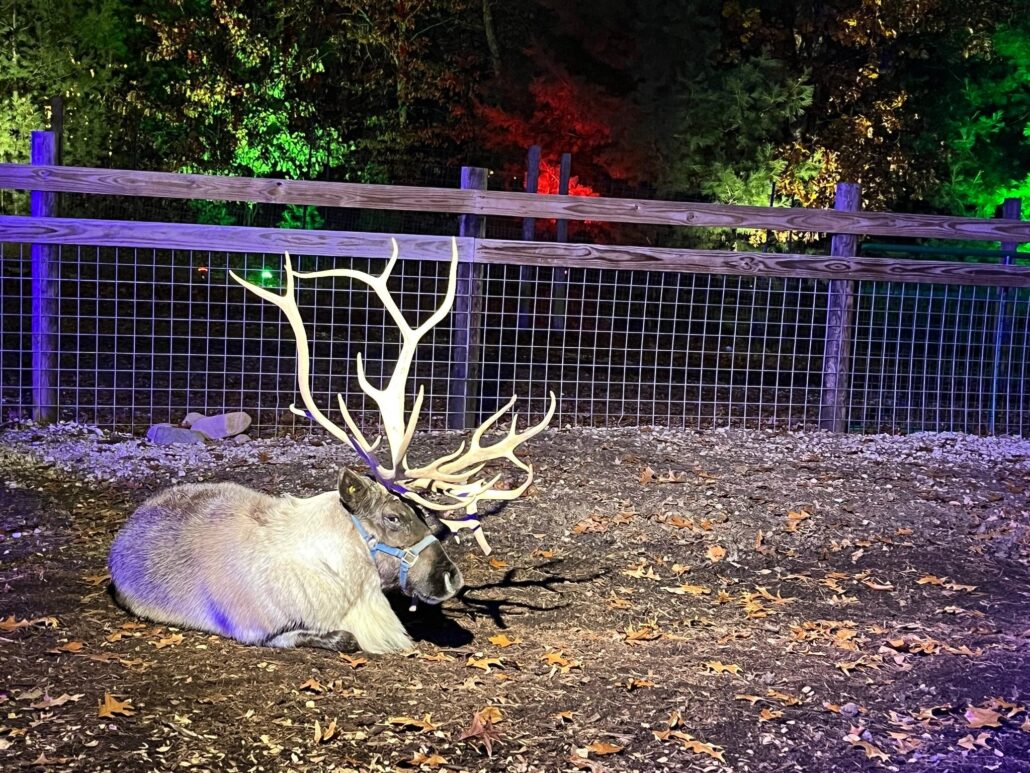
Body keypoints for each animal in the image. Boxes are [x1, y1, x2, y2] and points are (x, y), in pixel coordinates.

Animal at [108, 238, 556, 653]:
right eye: (394, 517)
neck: (349, 585)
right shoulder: (256, 629)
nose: (453, 577)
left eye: (427, 518)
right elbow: (341, 638)